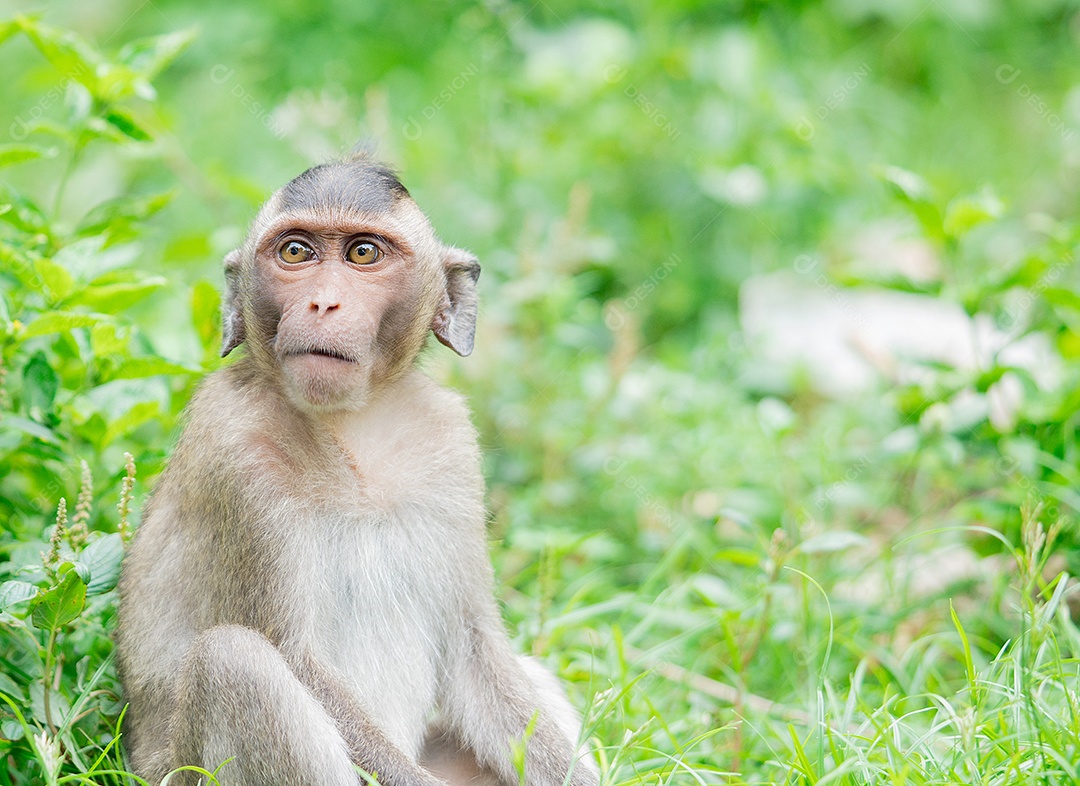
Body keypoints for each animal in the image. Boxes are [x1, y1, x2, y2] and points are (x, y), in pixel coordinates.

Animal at [118, 153, 600, 786]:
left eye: (364, 253)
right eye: (296, 252)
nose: (324, 303)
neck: (354, 426)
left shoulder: (452, 444)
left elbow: (476, 652)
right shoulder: (234, 452)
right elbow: (295, 657)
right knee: (233, 662)